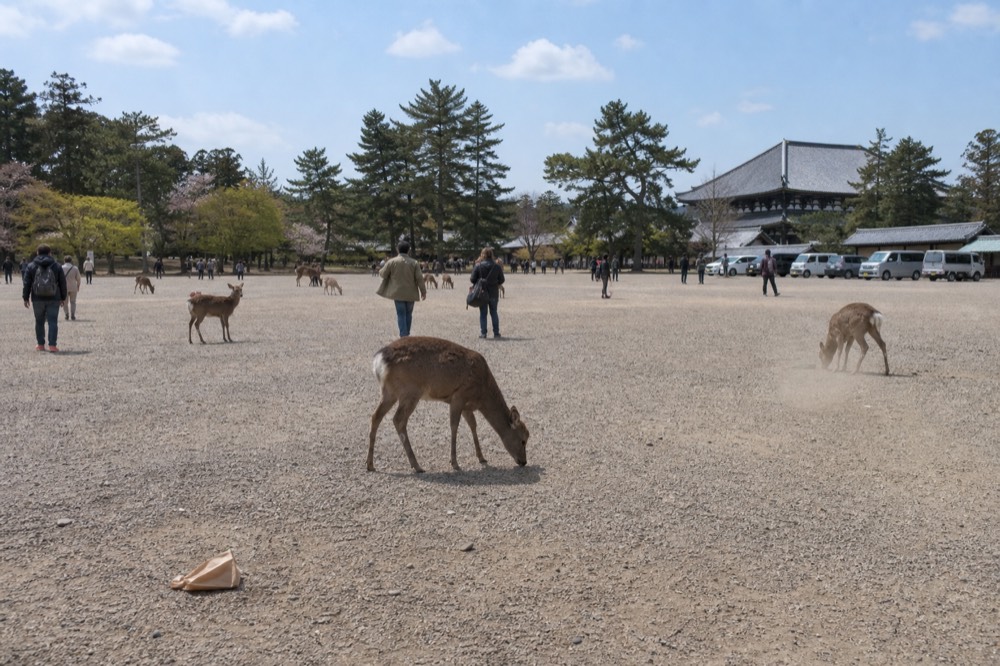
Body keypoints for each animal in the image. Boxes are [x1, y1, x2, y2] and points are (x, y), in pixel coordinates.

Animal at [367, 336, 529, 473]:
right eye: (523, 440)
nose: (524, 462)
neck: (482, 395)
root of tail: (378, 361)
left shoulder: (466, 406)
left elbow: (473, 425)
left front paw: (481, 457)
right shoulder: (459, 395)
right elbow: (454, 426)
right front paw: (455, 463)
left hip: (389, 392)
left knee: (375, 416)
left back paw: (370, 464)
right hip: (410, 391)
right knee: (398, 419)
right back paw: (417, 465)